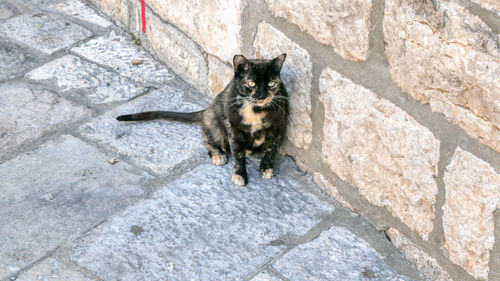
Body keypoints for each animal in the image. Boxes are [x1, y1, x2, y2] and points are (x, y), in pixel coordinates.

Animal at [116, 54, 290, 186]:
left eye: (271, 84)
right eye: (251, 83)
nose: (262, 96)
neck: (255, 110)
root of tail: (207, 109)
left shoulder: (278, 127)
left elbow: (270, 150)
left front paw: (267, 168)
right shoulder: (233, 128)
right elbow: (237, 155)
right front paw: (240, 175)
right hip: (214, 121)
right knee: (207, 137)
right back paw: (218, 155)